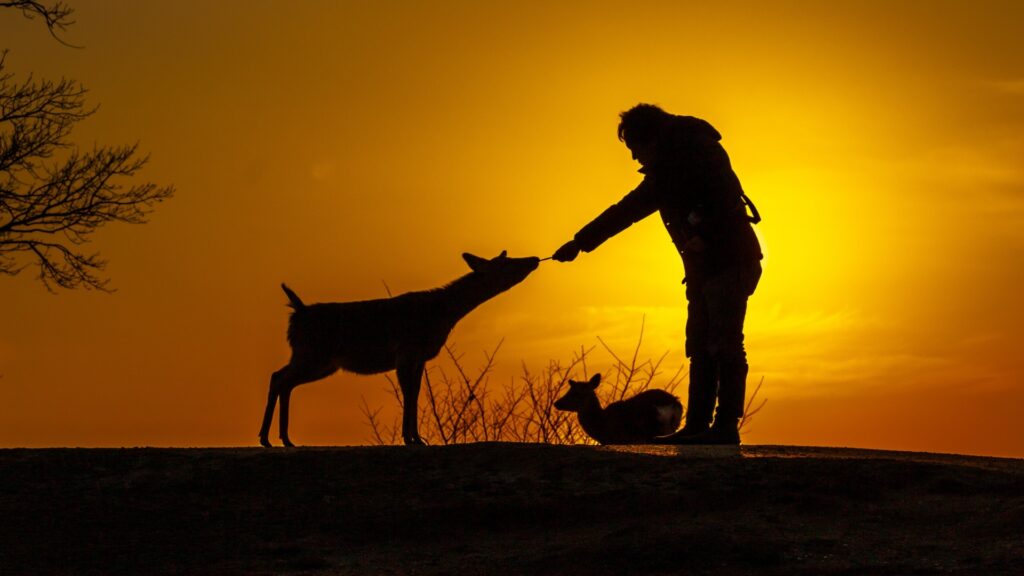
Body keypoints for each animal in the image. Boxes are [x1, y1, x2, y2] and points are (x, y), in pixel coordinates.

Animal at [259, 251, 540, 447]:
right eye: (505, 262)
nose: (534, 259)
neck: (442, 313)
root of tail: (298, 312)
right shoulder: (406, 351)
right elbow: (409, 393)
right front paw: (410, 438)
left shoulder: (420, 357)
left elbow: (415, 392)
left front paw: (418, 438)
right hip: (312, 354)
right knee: (279, 377)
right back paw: (267, 438)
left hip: (320, 361)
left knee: (283, 379)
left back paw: (283, 439)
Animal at [553, 373, 683, 445]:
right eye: (569, 390)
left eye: (576, 393)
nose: (557, 403)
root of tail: (674, 404)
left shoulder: (619, 439)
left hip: (654, 428)